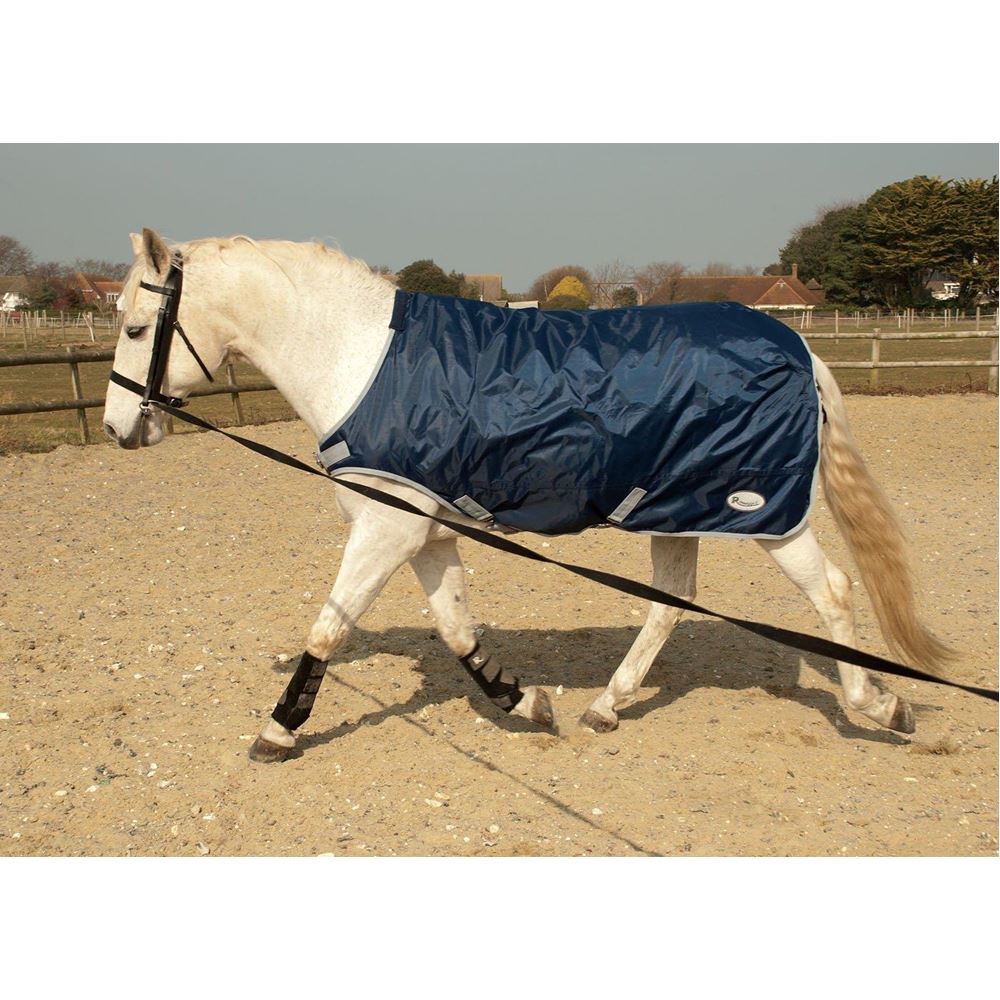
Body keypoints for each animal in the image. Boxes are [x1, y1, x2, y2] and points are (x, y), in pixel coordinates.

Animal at [103, 228, 952, 763]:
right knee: (672, 602)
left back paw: (879, 704)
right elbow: (455, 632)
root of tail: (799, 344)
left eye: (140, 327)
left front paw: (279, 730)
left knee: (832, 593)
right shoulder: (425, 532)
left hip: (765, 516)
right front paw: (524, 701)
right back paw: (607, 704)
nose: (116, 428)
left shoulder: (385, 530)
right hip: (671, 508)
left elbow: (328, 628)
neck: (359, 357)